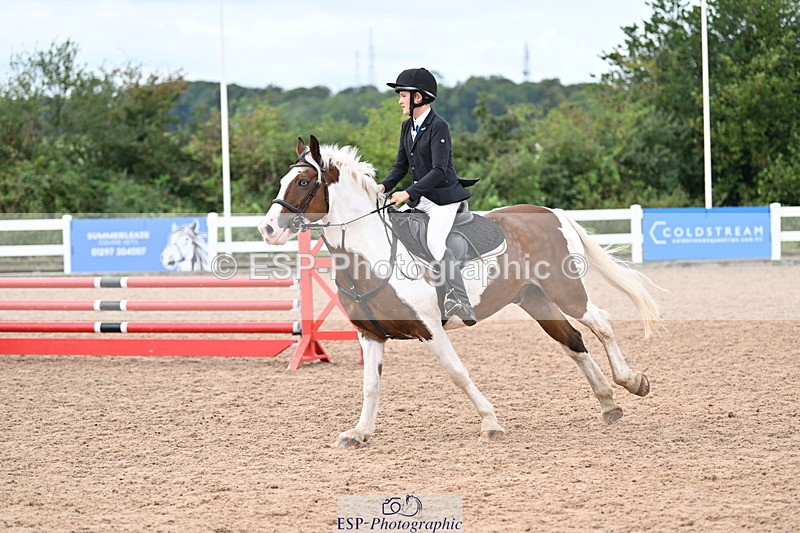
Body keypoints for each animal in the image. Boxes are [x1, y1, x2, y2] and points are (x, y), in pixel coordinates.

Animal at [258, 136, 661, 447]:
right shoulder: (370, 334)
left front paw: (491, 423)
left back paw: (632, 381)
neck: (373, 253)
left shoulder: (429, 329)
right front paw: (358, 433)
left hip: (565, 290)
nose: (267, 229)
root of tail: (553, 213)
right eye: (283, 180)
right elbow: (370, 384)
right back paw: (608, 404)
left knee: (601, 323)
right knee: (573, 341)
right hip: (535, 299)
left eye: (304, 182)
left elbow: (457, 373)